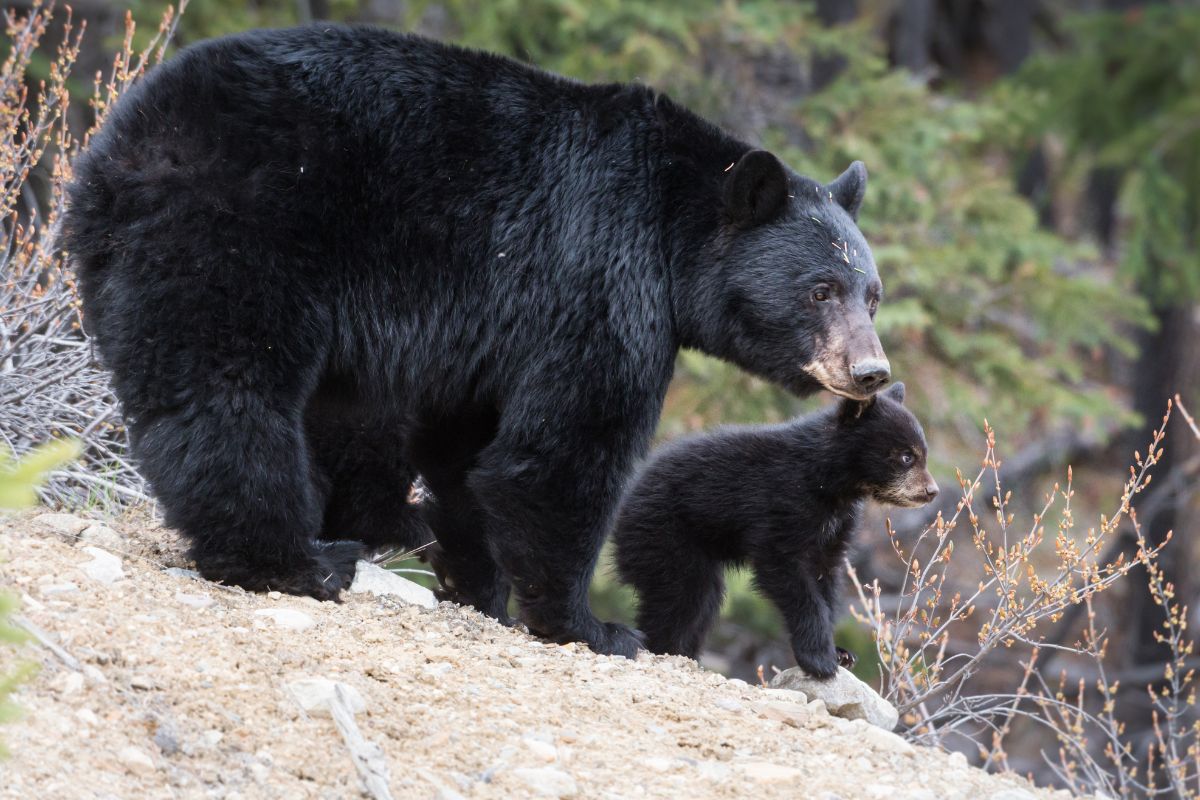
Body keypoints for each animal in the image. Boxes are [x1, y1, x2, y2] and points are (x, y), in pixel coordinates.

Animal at [65, 25, 892, 657]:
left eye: (872, 293)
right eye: (820, 289)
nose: (871, 370)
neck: (668, 227)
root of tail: (121, 144)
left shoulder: (494, 330)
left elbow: (467, 451)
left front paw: (480, 586)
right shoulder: (597, 279)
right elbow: (561, 453)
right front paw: (592, 626)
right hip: (243, 230)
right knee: (229, 389)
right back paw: (295, 560)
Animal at [609, 383, 936, 671]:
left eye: (923, 452)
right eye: (907, 456)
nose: (931, 491)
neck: (829, 482)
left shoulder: (838, 524)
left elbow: (826, 575)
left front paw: (840, 652)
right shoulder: (782, 503)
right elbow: (784, 569)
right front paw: (819, 659)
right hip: (664, 535)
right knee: (683, 597)